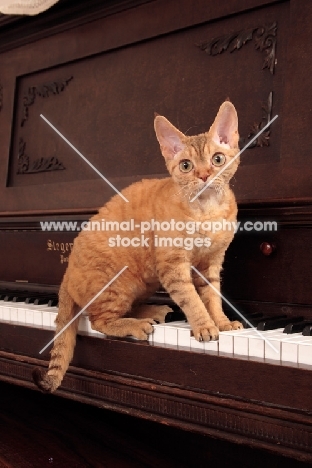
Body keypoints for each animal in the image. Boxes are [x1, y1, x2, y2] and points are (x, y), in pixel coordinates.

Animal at [34, 100, 244, 394]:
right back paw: (136, 325)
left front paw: (222, 322)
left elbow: (212, 297)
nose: (204, 175)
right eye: (186, 165)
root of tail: (67, 272)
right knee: (100, 321)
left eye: (217, 159)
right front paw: (204, 326)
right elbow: (192, 299)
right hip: (119, 284)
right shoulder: (173, 266)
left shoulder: (211, 263)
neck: (207, 211)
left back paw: (152, 311)